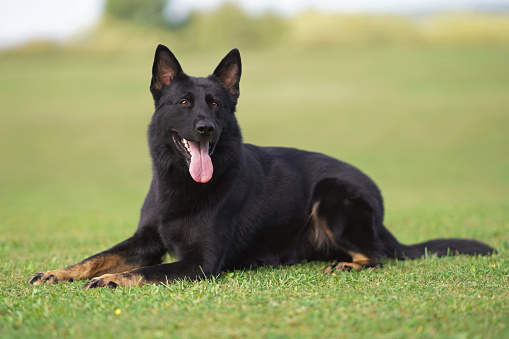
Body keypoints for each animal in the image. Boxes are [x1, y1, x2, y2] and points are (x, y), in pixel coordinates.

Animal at [28, 45, 492, 290]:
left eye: (216, 104)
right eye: (184, 103)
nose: (205, 127)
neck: (181, 185)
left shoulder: (199, 263)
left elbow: (147, 270)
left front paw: (114, 280)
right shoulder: (143, 241)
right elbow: (97, 257)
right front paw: (58, 271)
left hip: (332, 194)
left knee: (377, 255)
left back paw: (348, 264)